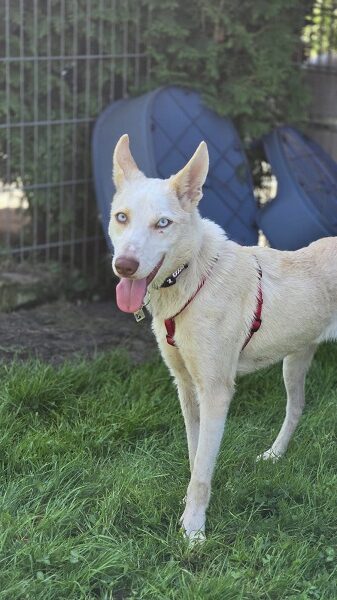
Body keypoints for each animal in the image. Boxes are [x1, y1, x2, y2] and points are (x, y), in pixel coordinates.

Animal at [109, 135, 334, 544]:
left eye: (162, 223)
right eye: (122, 217)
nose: (125, 267)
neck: (190, 277)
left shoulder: (216, 392)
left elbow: (202, 470)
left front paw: (194, 532)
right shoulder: (186, 387)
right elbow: (196, 455)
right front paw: (188, 511)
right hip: (293, 361)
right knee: (296, 408)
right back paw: (274, 455)